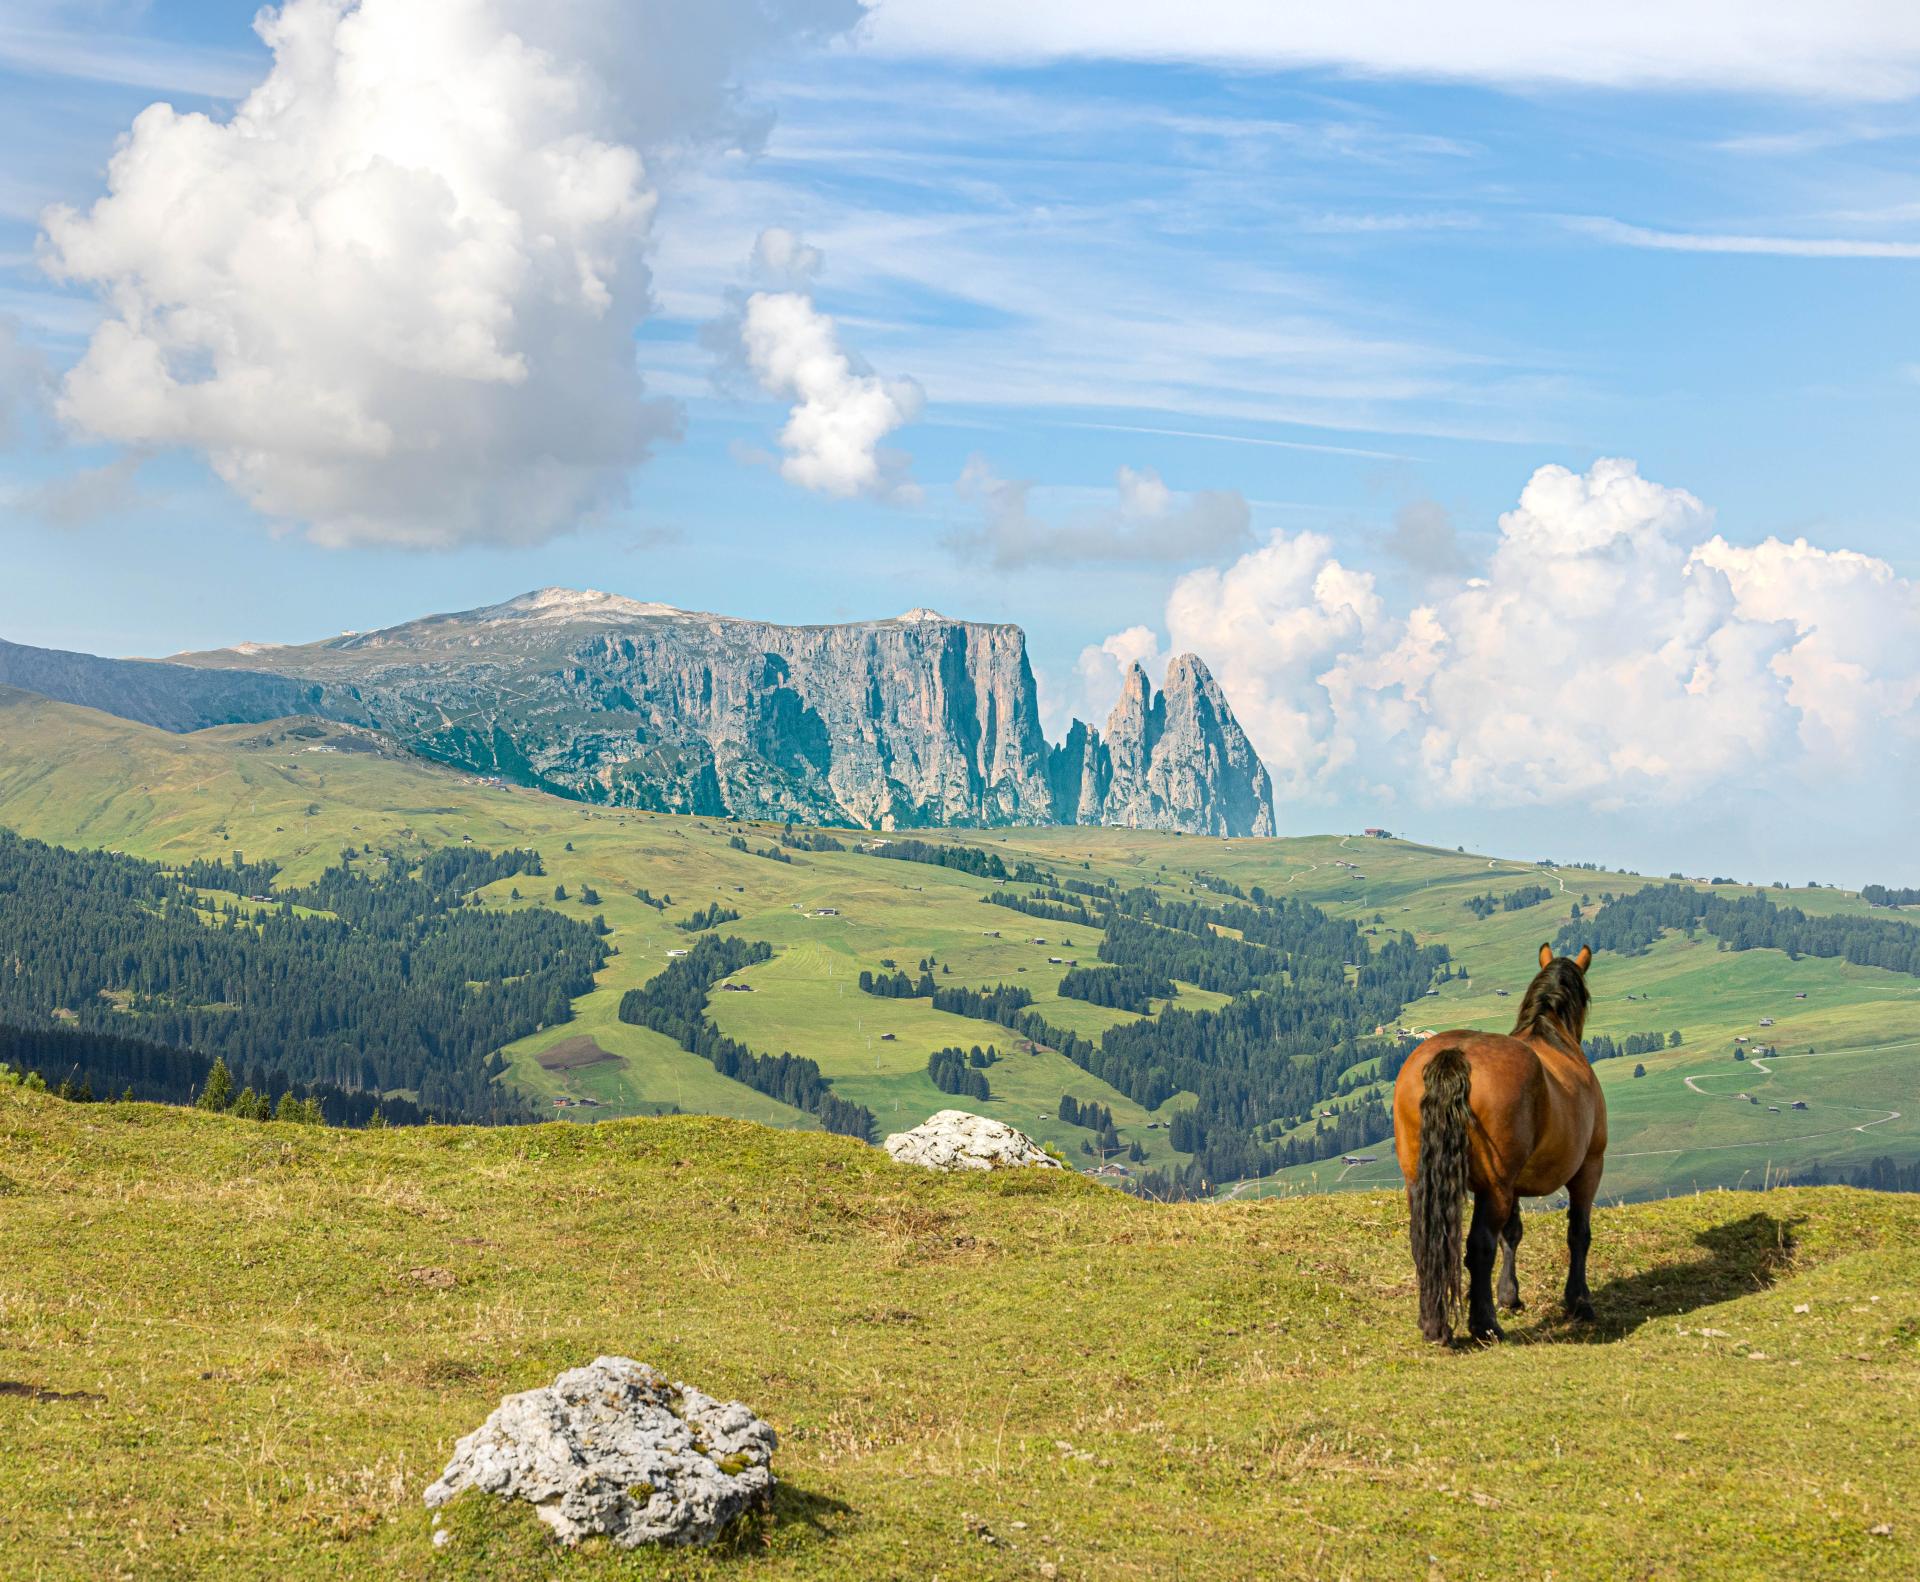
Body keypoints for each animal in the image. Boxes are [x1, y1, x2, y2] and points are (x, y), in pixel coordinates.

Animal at [1397, 944, 1605, 1343]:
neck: (1552, 1036)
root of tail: (1456, 1056)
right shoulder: (1588, 1168)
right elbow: (1578, 1233)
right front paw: (1579, 1300)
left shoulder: (1515, 1183)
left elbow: (1513, 1232)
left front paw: (1510, 1294)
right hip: (1494, 1187)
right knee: (1479, 1245)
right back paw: (1484, 1325)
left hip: (1421, 1179)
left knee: (1423, 1241)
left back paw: (1433, 1324)